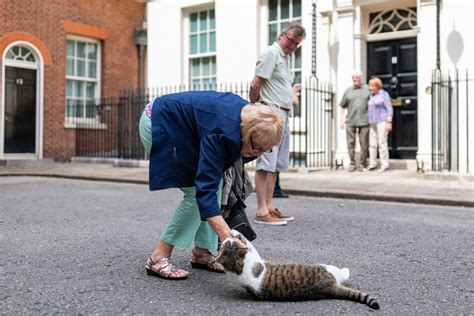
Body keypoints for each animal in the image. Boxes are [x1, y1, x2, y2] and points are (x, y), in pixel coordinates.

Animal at [217, 231, 380, 310]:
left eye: (227, 245)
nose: (226, 239)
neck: (238, 268)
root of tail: (329, 287)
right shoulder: (256, 259)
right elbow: (250, 244)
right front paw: (236, 232)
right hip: (326, 267)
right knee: (343, 274)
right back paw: (346, 270)